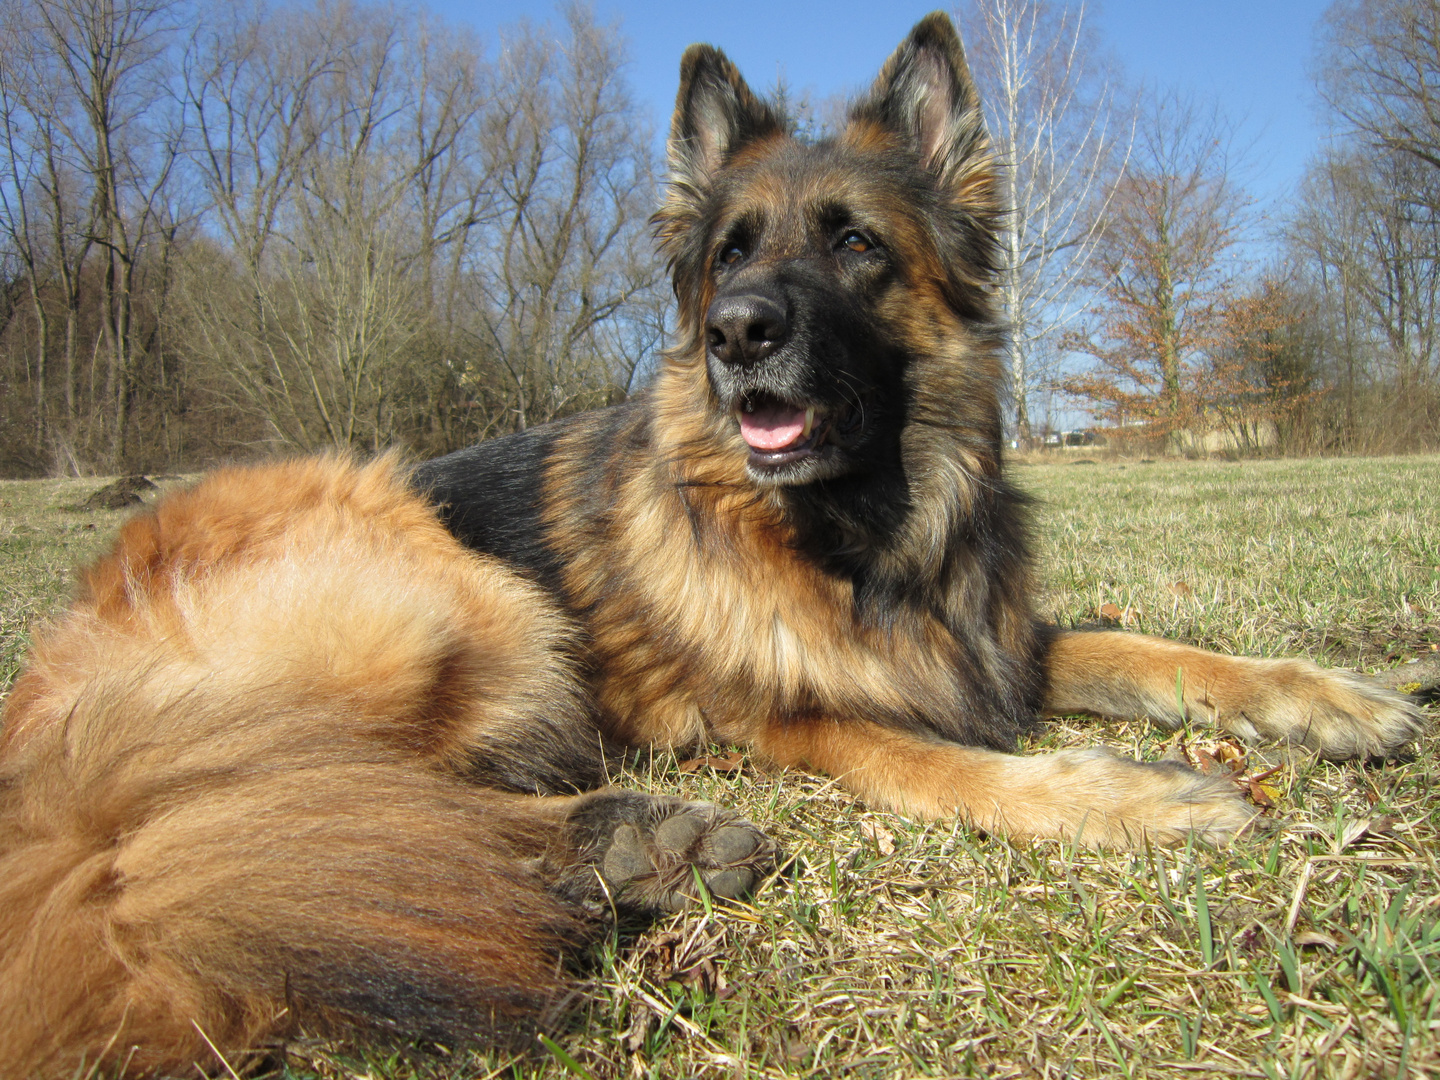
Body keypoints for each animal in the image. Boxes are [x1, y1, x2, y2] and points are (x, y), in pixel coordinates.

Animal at [0, 10, 1416, 1080]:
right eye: (731, 253)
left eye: (854, 243)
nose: (738, 333)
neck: (864, 539)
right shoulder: (789, 715)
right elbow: (950, 766)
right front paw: (1129, 799)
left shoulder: (989, 641)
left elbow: (1163, 651)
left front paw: (1332, 700)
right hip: (449, 595)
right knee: (319, 797)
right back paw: (620, 844)